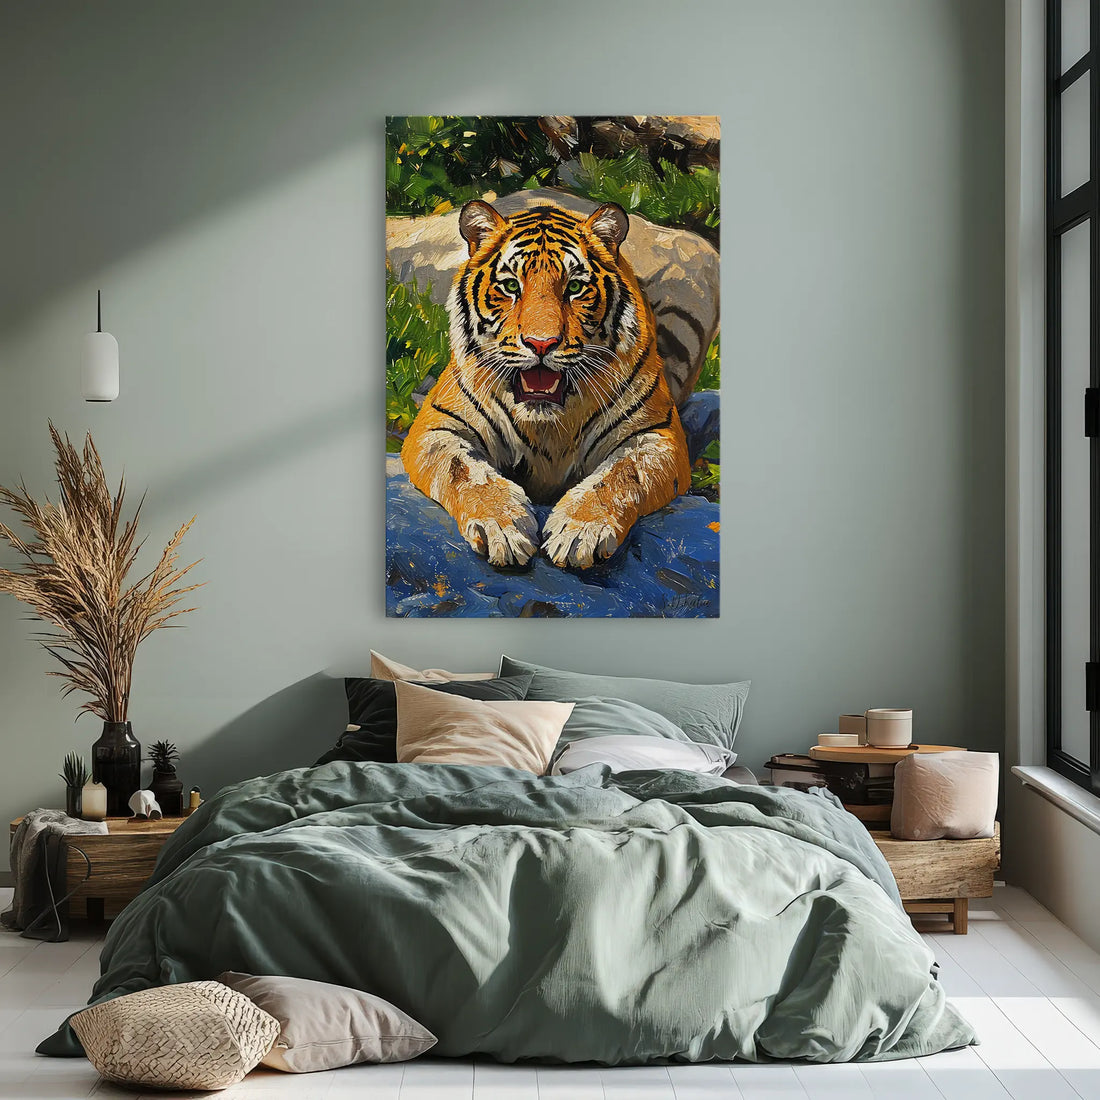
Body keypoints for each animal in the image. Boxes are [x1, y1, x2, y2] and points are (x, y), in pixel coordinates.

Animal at [401, 199, 693, 570]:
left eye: (575, 287)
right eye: (511, 286)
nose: (541, 344)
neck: (548, 426)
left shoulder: (656, 434)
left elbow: (621, 474)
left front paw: (580, 531)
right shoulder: (437, 427)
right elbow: (465, 472)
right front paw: (502, 527)